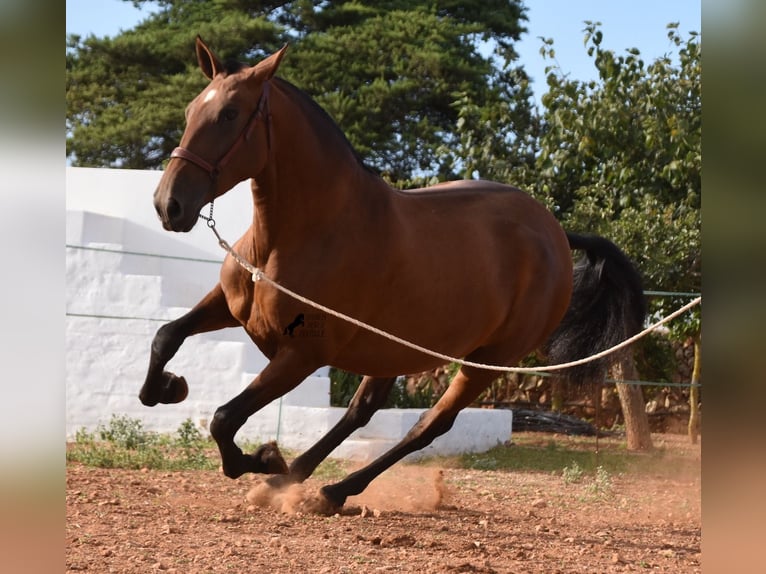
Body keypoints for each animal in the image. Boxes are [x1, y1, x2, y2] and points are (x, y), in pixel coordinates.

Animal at [141, 38, 644, 510]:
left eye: (229, 114)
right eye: (191, 109)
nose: (169, 205)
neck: (295, 238)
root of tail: (556, 233)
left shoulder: (302, 355)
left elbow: (225, 418)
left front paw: (262, 458)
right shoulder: (228, 307)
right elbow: (166, 336)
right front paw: (168, 388)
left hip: (487, 360)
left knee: (429, 425)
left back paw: (329, 489)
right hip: (394, 350)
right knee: (362, 411)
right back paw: (292, 481)